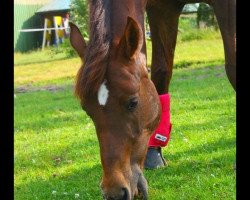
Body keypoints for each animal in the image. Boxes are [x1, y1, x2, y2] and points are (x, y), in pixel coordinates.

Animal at [69, 0, 235, 200]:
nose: (115, 193)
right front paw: (153, 153)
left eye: (133, 103)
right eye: (87, 110)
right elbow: (161, 72)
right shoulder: (161, 9)